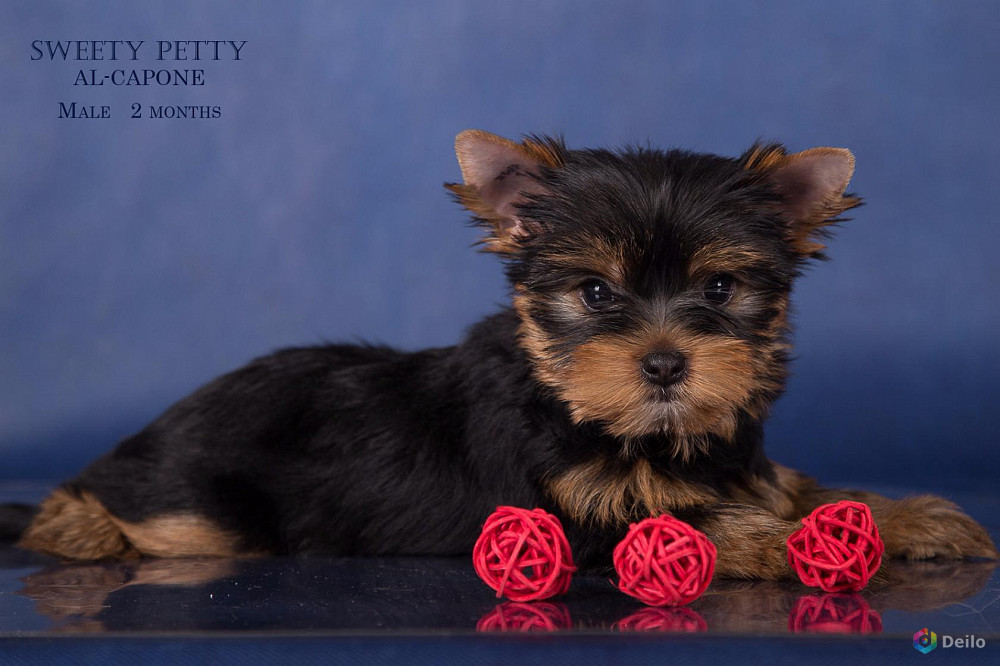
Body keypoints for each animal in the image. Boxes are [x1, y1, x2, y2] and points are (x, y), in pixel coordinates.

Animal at [5, 131, 992, 576]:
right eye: (595, 294)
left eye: (718, 292)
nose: (666, 364)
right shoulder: (581, 512)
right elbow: (713, 529)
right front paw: (808, 541)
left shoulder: (733, 461)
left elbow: (792, 489)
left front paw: (913, 517)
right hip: (204, 508)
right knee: (132, 506)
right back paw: (76, 525)